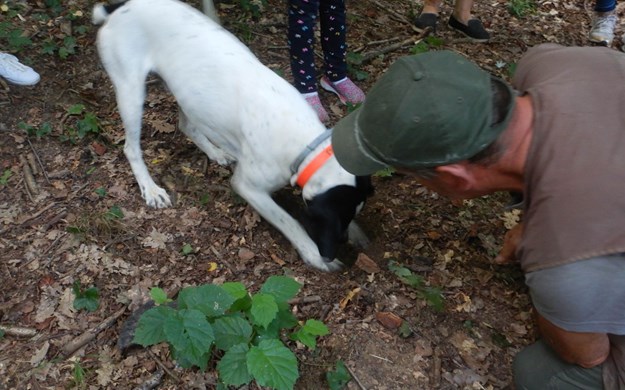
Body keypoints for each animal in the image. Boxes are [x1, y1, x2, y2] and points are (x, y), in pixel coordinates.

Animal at [92, 0, 370, 272]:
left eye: (349, 216)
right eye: (333, 221)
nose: (337, 246)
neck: (305, 145)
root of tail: (118, 7)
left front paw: (357, 232)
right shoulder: (249, 187)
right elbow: (289, 221)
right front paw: (313, 254)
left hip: (187, 92)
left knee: (187, 126)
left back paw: (215, 152)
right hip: (131, 92)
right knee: (131, 148)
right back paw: (150, 188)